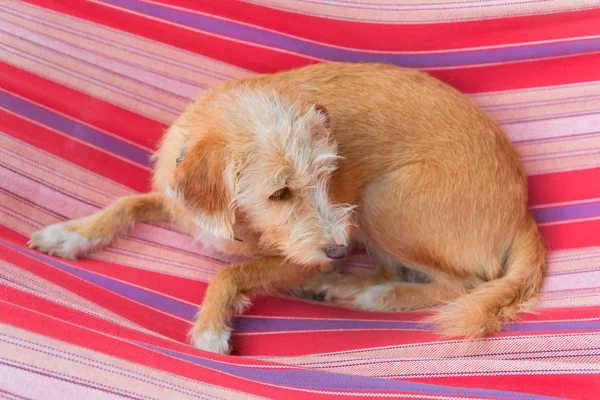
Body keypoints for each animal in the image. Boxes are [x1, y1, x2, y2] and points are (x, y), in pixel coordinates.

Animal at [28, 61, 548, 354]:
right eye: (279, 193)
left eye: (325, 178)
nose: (338, 251)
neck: (237, 221)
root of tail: (524, 211)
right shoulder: (180, 204)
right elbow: (127, 202)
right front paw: (72, 234)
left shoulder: (299, 256)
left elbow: (230, 272)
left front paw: (211, 327)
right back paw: (340, 286)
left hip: (381, 200)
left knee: (464, 283)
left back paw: (370, 293)